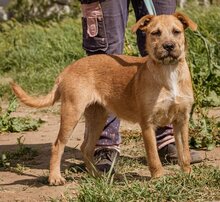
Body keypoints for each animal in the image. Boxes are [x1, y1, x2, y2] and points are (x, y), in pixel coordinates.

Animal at [11, 13, 198, 185]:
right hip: (72, 112)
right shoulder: (147, 124)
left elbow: (185, 152)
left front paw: (188, 174)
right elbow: (153, 156)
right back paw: (55, 177)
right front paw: (158, 178)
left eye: (176, 31)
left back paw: (97, 175)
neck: (169, 71)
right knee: (58, 145)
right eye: (156, 33)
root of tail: (68, 69)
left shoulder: (181, 120)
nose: (169, 46)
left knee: (85, 148)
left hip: (97, 117)